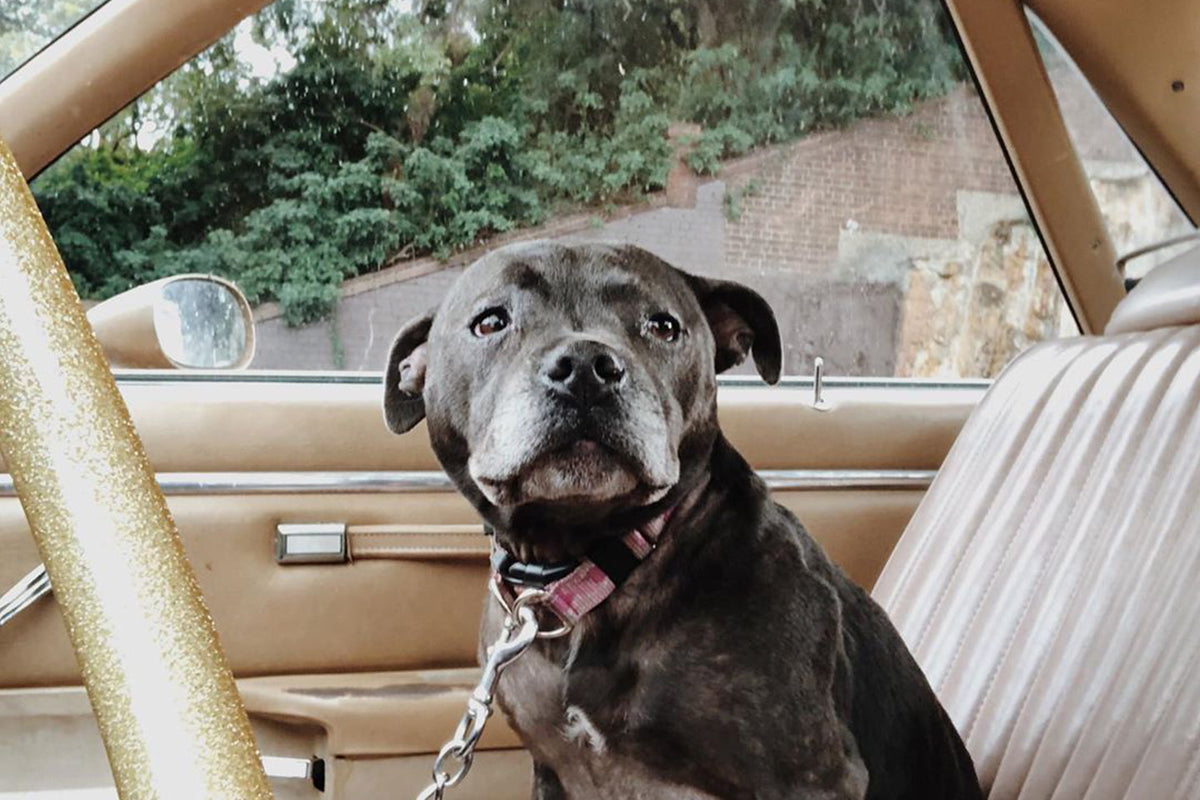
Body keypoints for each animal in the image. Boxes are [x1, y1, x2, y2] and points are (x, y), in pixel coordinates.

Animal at [384, 242, 984, 800]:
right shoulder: (551, 768)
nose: (586, 369)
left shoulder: (811, 777)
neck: (591, 563)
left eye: (663, 326)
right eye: (490, 322)